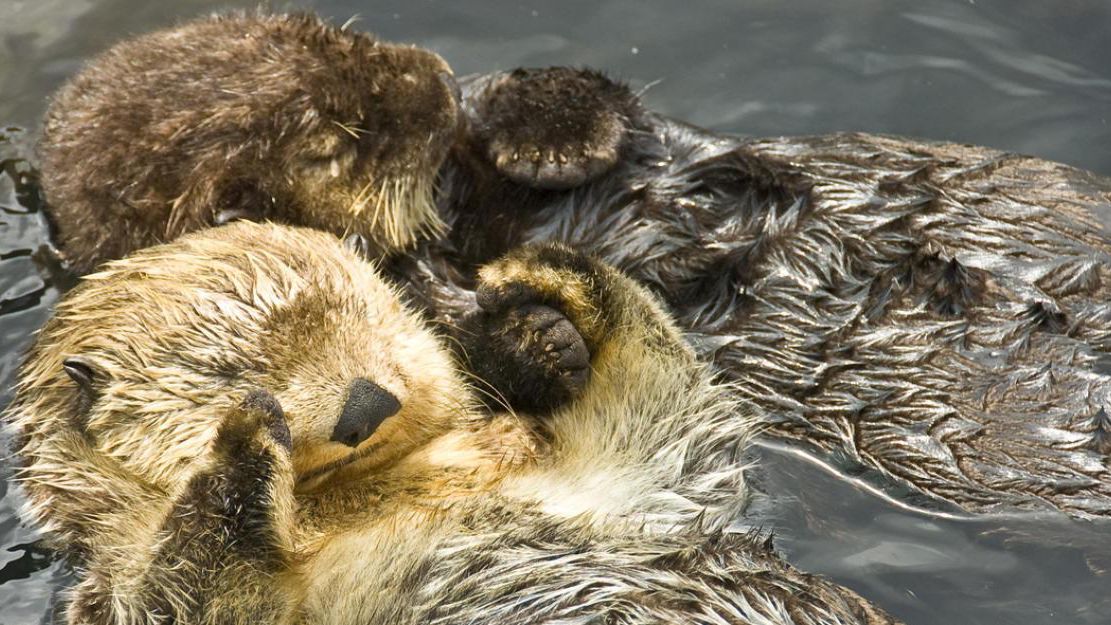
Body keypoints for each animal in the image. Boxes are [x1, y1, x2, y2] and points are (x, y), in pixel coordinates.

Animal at [7, 221, 897, 624]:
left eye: (364, 316)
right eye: (232, 371)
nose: (366, 402)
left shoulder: (623, 486)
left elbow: (668, 420)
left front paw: (547, 280)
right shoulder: (118, 572)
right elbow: (182, 597)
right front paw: (242, 441)